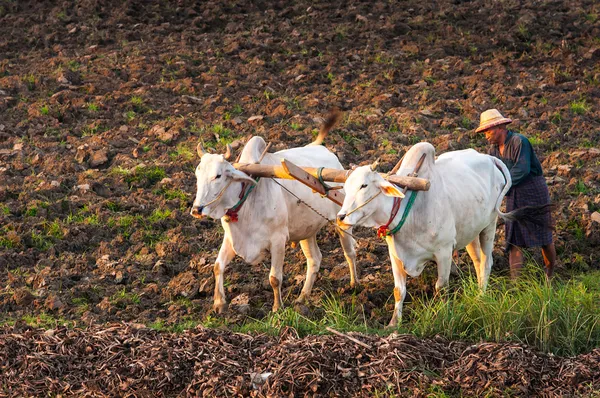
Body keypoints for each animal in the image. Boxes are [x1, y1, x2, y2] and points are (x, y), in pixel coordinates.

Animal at [191, 123, 356, 312]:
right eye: (197, 174)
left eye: (218, 175)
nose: (196, 209)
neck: (248, 197)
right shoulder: (231, 238)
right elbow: (218, 266)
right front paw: (219, 303)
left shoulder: (278, 240)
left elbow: (274, 278)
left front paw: (277, 307)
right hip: (306, 230)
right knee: (314, 260)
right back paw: (302, 297)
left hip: (342, 221)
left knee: (349, 252)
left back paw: (354, 285)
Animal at [336, 142, 512, 326]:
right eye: (346, 187)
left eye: (364, 185)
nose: (341, 217)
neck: (408, 211)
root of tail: (489, 158)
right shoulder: (395, 255)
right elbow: (398, 291)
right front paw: (393, 323)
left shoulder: (444, 251)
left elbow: (441, 287)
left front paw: (443, 316)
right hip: (471, 230)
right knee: (477, 262)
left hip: (490, 225)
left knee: (486, 263)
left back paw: (481, 297)